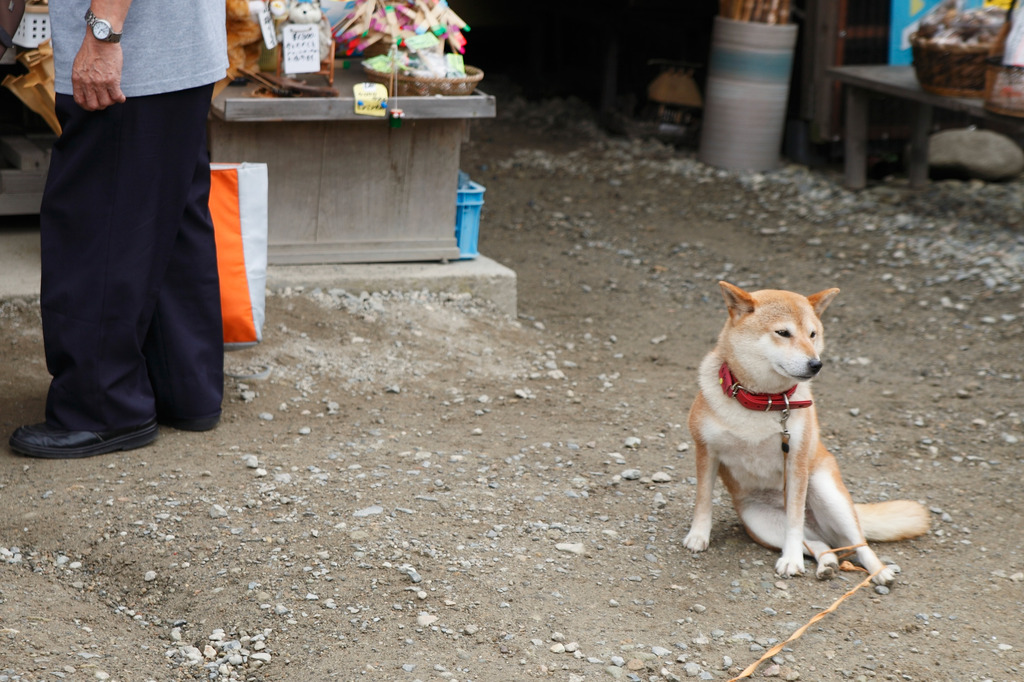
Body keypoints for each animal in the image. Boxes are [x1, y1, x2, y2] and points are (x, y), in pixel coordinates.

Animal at [684, 280, 933, 585]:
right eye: (783, 332)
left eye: (813, 334)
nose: (816, 364)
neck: (763, 401)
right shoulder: (706, 451)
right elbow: (703, 499)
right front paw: (698, 535)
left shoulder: (796, 464)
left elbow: (794, 520)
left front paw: (791, 560)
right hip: (761, 522)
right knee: (820, 544)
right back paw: (827, 564)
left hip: (828, 494)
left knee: (858, 543)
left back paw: (879, 571)